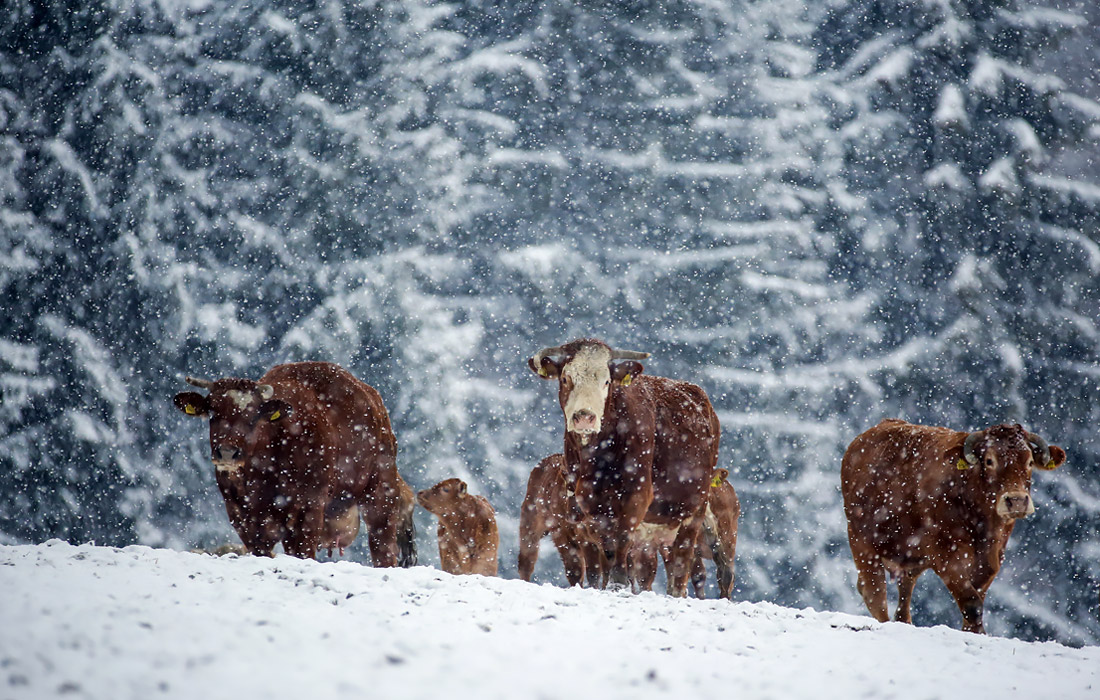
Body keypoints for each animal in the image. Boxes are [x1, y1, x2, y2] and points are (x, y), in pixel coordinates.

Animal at [174, 361, 417, 566]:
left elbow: (302, 552)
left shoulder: (307, 511)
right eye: (213, 411)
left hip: (380, 493)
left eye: (253, 415)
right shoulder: (241, 515)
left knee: (383, 548)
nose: (226, 452)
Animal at [528, 338, 721, 596]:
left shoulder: (636, 495)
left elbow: (621, 539)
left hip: (695, 508)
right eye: (566, 379)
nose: (584, 417)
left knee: (682, 560)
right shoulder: (584, 503)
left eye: (606, 381)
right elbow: (604, 547)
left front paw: (617, 583)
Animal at [841, 419, 1066, 633]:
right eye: (989, 460)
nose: (1017, 500)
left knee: (904, 589)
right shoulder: (945, 554)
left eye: (1029, 461)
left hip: (908, 554)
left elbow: (977, 597)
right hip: (862, 542)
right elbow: (971, 603)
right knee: (874, 592)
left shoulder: (993, 556)